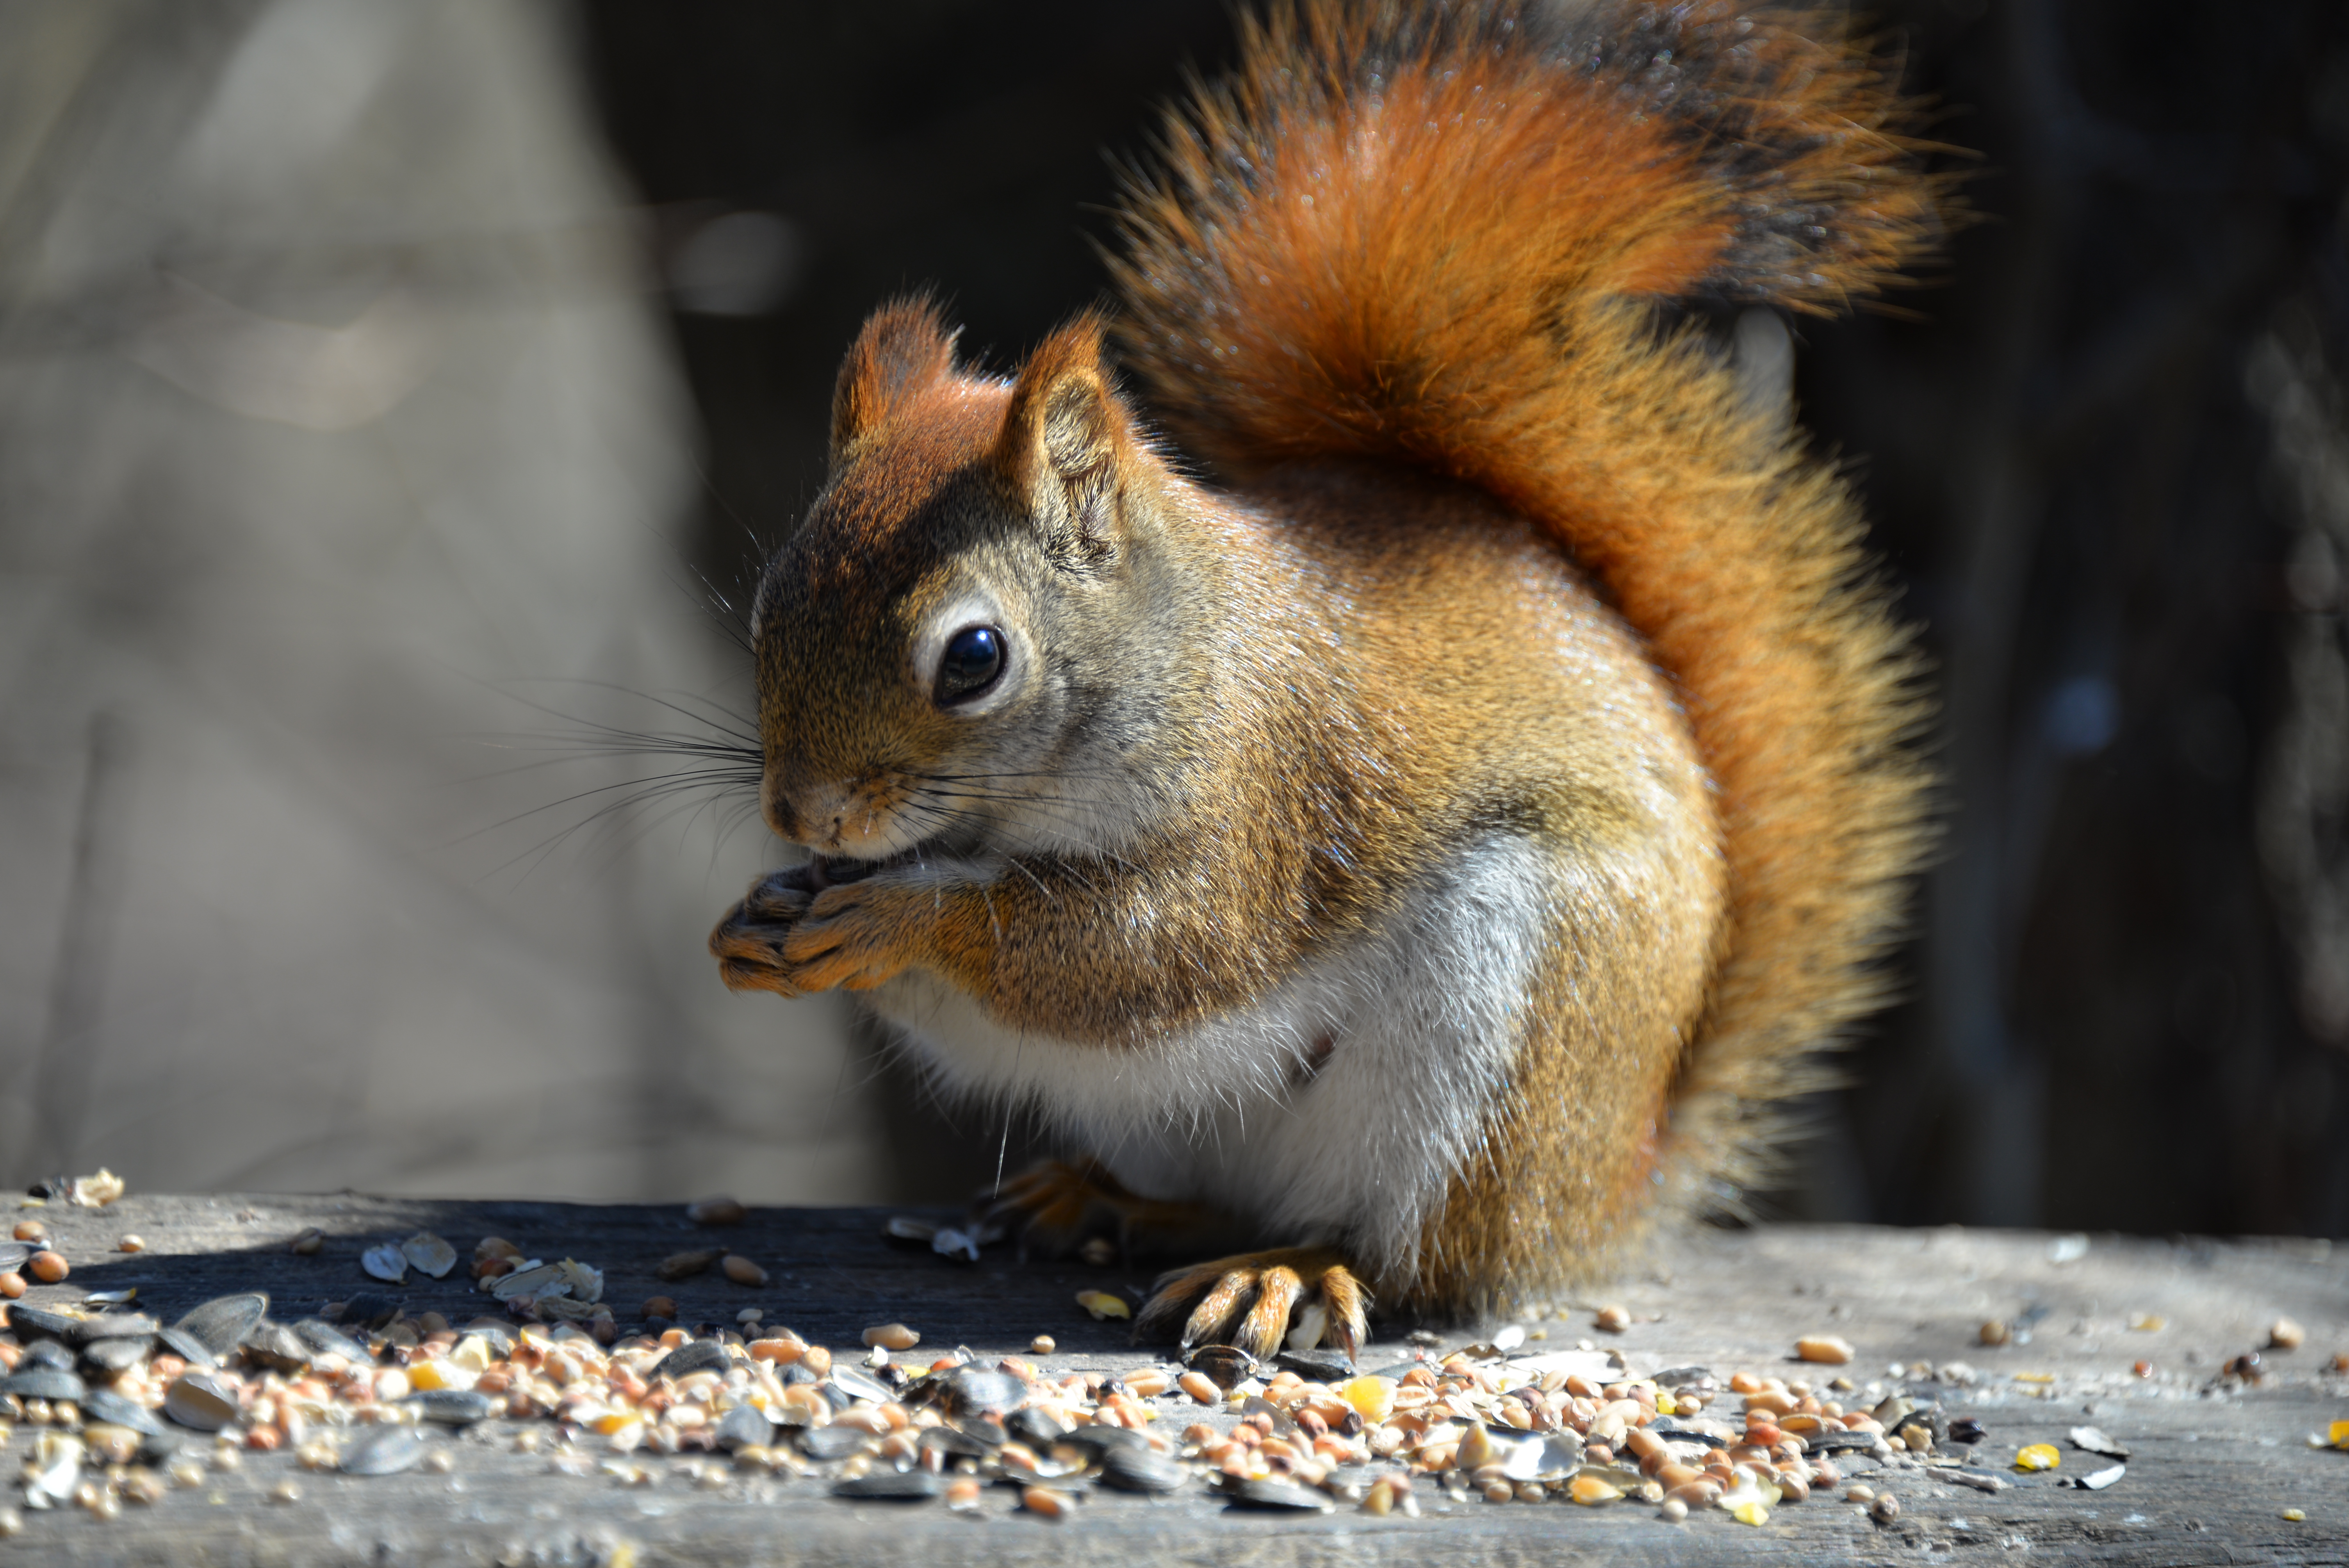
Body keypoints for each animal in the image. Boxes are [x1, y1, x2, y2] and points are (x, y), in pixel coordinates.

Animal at [704, 0, 1936, 1361]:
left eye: (974, 660)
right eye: (768, 608)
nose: (803, 815)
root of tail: (1609, 1186)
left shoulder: (1267, 794)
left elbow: (1142, 955)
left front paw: (893, 920)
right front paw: (755, 921)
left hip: (1511, 1021)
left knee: (1411, 1255)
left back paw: (1286, 1271)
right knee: (1201, 1191)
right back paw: (1099, 1197)